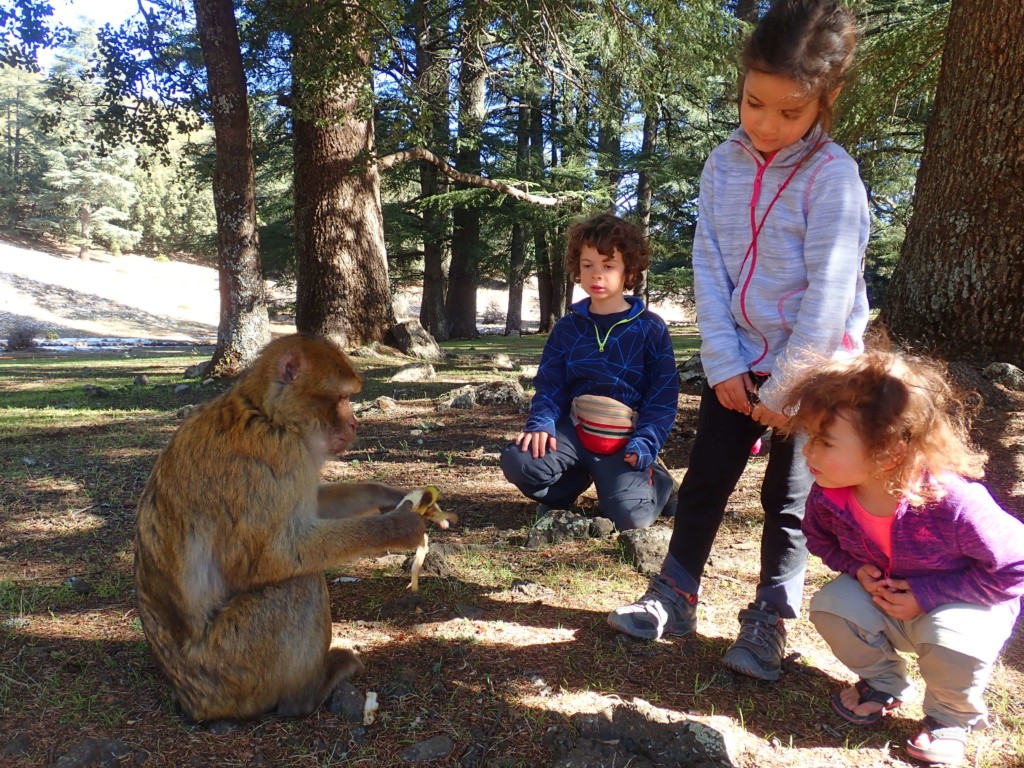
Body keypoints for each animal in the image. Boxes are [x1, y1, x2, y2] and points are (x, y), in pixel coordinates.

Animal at [132, 333, 440, 724]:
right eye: (342, 398)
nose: (355, 424)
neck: (267, 414)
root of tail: (191, 702)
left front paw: (388, 495)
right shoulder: (273, 456)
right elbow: (269, 559)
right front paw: (395, 526)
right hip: (231, 666)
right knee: (300, 582)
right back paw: (306, 694)